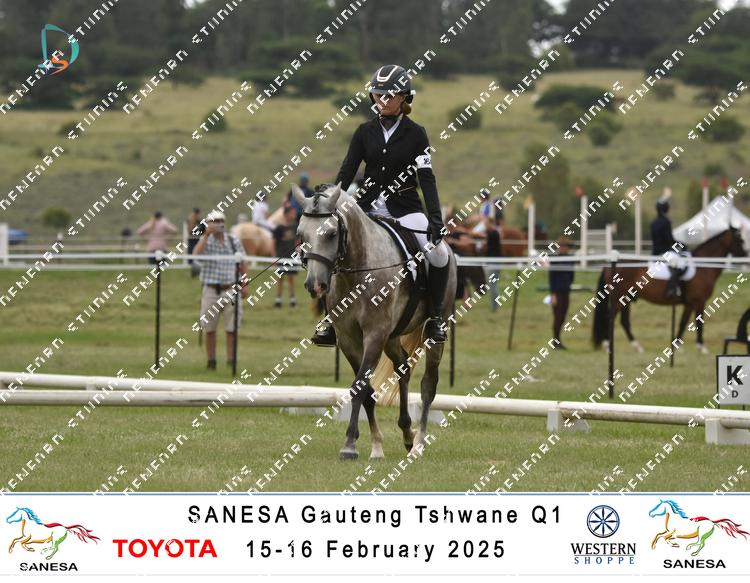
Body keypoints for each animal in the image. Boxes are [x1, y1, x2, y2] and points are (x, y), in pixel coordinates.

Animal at [292, 183, 457, 460]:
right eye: (301, 234)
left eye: (332, 233)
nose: (315, 285)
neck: (358, 272)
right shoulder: (350, 339)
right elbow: (365, 390)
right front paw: (375, 446)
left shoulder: (374, 335)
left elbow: (360, 385)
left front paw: (349, 445)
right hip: (392, 337)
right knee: (403, 367)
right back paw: (407, 434)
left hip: (433, 330)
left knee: (428, 385)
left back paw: (419, 443)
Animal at [593, 228, 747, 352]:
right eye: (740, 239)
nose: (746, 256)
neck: (702, 268)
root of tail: (609, 266)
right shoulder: (699, 301)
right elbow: (699, 322)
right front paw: (702, 347)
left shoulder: (689, 304)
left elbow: (683, 323)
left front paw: (676, 347)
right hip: (620, 298)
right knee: (609, 317)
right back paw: (608, 346)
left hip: (626, 299)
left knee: (624, 321)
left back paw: (637, 347)